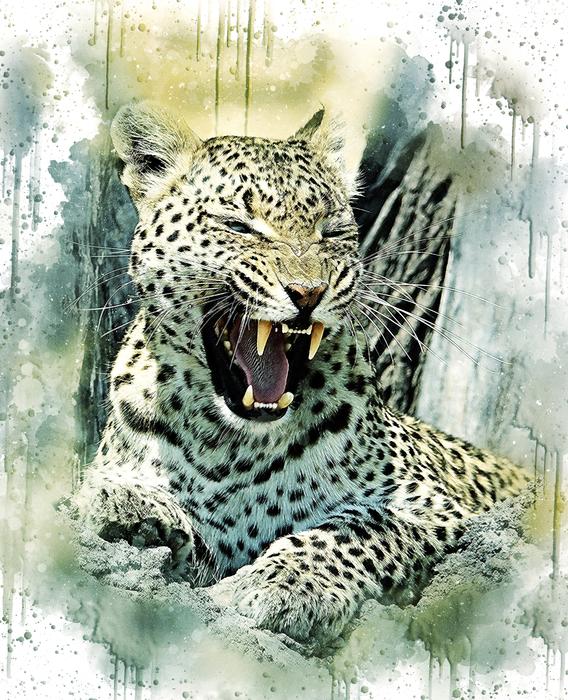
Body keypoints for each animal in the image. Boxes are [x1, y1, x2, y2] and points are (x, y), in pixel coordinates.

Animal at [73, 101, 530, 645]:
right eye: (239, 226)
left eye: (331, 232)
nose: (308, 292)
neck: (228, 446)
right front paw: (126, 504)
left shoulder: (434, 505)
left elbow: (356, 529)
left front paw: (283, 585)